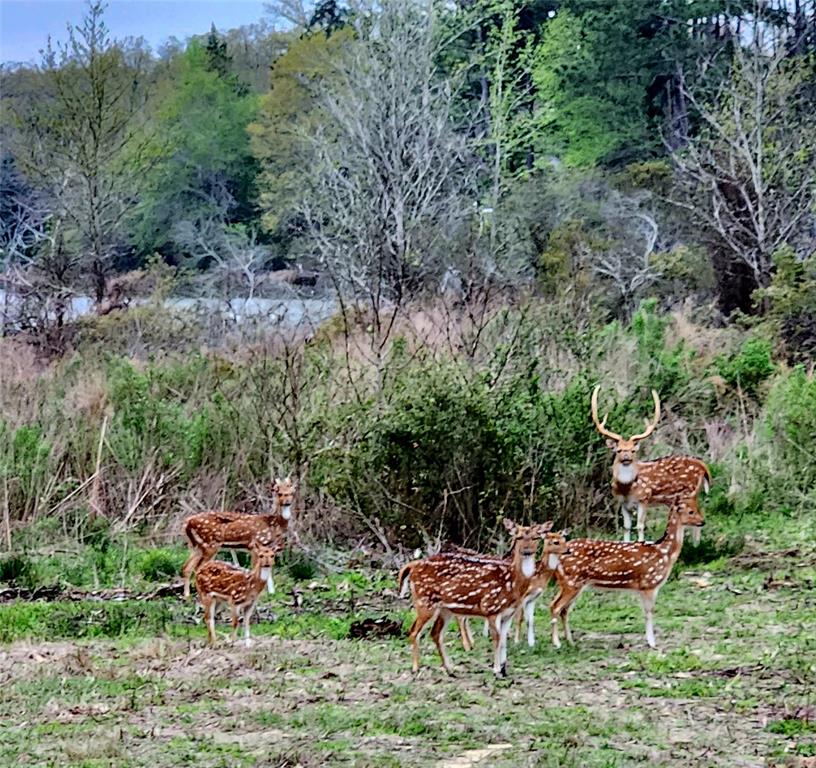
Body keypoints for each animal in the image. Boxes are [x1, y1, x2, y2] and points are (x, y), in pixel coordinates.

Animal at [396, 520, 552, 680]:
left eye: (535, 537)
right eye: (518, 537)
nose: (527, 551)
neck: (511, 582)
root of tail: (413, 566)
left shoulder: (508, 613)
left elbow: (503, 639)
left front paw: (504, 670)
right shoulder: (491, 608)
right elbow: (496, 638)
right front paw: (496, 670)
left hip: (445, 609)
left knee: (435, 633)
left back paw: (450, 669)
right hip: (424, 601)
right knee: (414, 631)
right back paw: (416, 668)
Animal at [544, 496, 704, 652]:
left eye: (698, 508)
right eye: (690, 512)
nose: (702, 522)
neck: (664, 553)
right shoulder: (648, 584)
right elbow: (649, 612)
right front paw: (652, 643)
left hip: (573, 584)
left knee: (564, 610)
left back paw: (571, 642)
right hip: (571, 582)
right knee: (555, 606)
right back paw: (557, 643)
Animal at [588, 388, 712, 544]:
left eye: (633, 450)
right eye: (619, 450)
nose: (627, 458)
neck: (626, 488)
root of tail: (704, 467)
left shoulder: (644, 499)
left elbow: (640, 526)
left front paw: (640, 543)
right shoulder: (623, 503)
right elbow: (626, 527)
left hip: (690, 491)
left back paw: (695, 545)